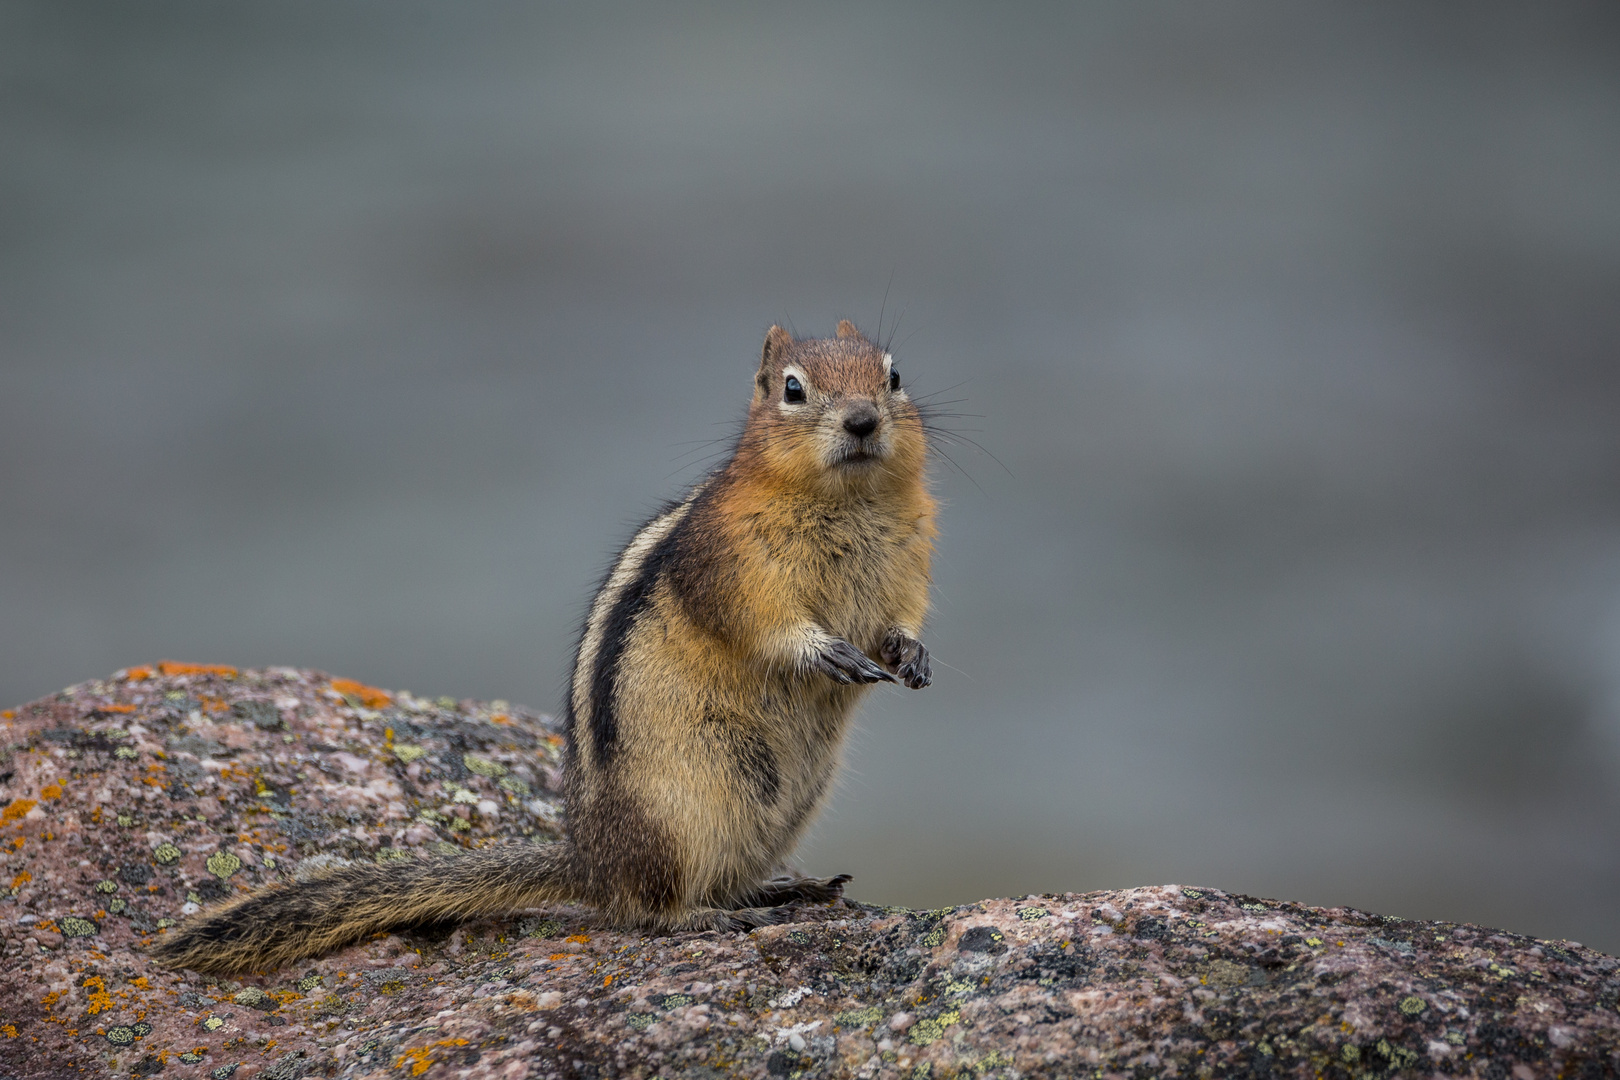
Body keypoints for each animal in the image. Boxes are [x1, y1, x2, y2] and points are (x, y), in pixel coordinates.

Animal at [154, 318, 939, 971]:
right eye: (793, 389)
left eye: (894, 376)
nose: (863, 420)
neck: (850, 502)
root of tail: (590, 864)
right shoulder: (731, 562)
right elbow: (763, 624)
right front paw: (825, 652)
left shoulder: (907, 566)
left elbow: (898, 621)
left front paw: (912, 657)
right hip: (682, 815)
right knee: (648, 909)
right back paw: (706, 919)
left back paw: (784, 892)